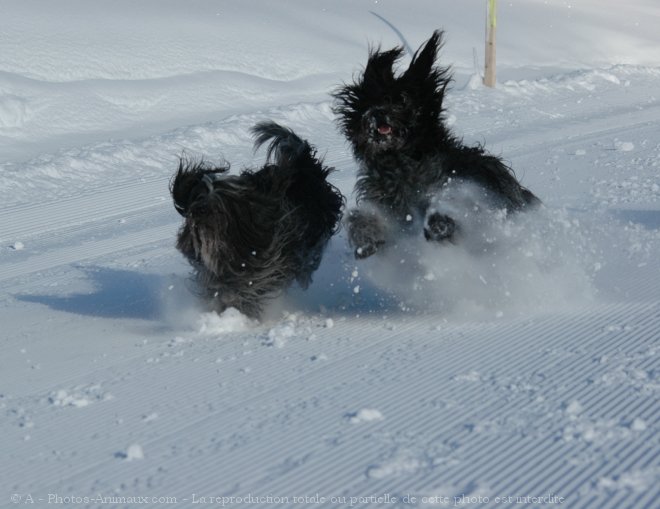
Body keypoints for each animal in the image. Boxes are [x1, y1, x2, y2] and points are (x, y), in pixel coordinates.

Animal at [332, 29, 540, 258]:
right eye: (370, 100)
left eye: (402, 99)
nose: (377, 113)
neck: (400, 163)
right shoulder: (387, 207)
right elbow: (359, 218)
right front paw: (366, 237)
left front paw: (439, 223)